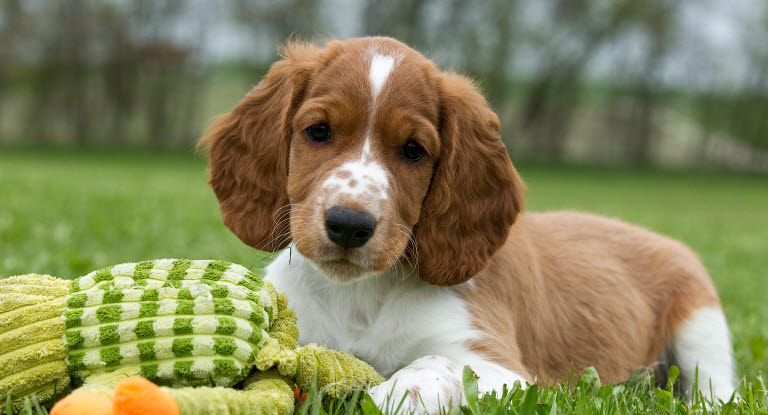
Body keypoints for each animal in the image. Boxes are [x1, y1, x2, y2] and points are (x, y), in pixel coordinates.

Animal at [200, 37, 736, 414]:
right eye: (318, 131)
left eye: (413, 151)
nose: (349, 225)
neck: (362, 295)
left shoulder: (504, 369)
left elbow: (435, 365)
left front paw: (392, 394)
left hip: (701, 322)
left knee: (718, 387)